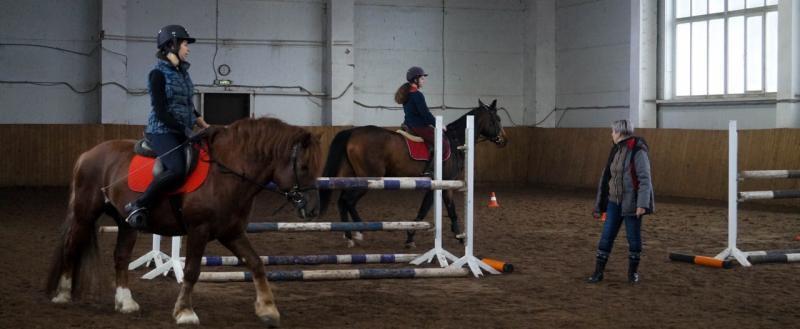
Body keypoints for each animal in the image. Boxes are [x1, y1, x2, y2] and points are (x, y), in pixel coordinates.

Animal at [46, 117, 322, 326]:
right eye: (304, 166)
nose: (313, 210)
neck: (226, 174)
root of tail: (87, 154)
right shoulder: (199, 230)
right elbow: (191, 270)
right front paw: (184, 312)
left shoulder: (231, 232)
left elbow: (256, 263)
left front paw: (267, 309)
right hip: (85, 214)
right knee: (71, 247)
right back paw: (63, 294)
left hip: (127, 224)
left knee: (121, 257)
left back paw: (126, 302)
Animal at [318, 98, 506, 247]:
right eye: (497, 119)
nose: (504, 140)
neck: (456, 142)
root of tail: (353, 132)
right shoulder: (438, 184)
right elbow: (424, 210)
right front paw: (410, 238)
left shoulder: (445, 185)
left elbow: (450, 210)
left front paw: (460, 237)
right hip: (369, 179)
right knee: (348, 201)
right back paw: (358, 231)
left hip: (354, 177)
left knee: (342, 201)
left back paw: (349, 235)